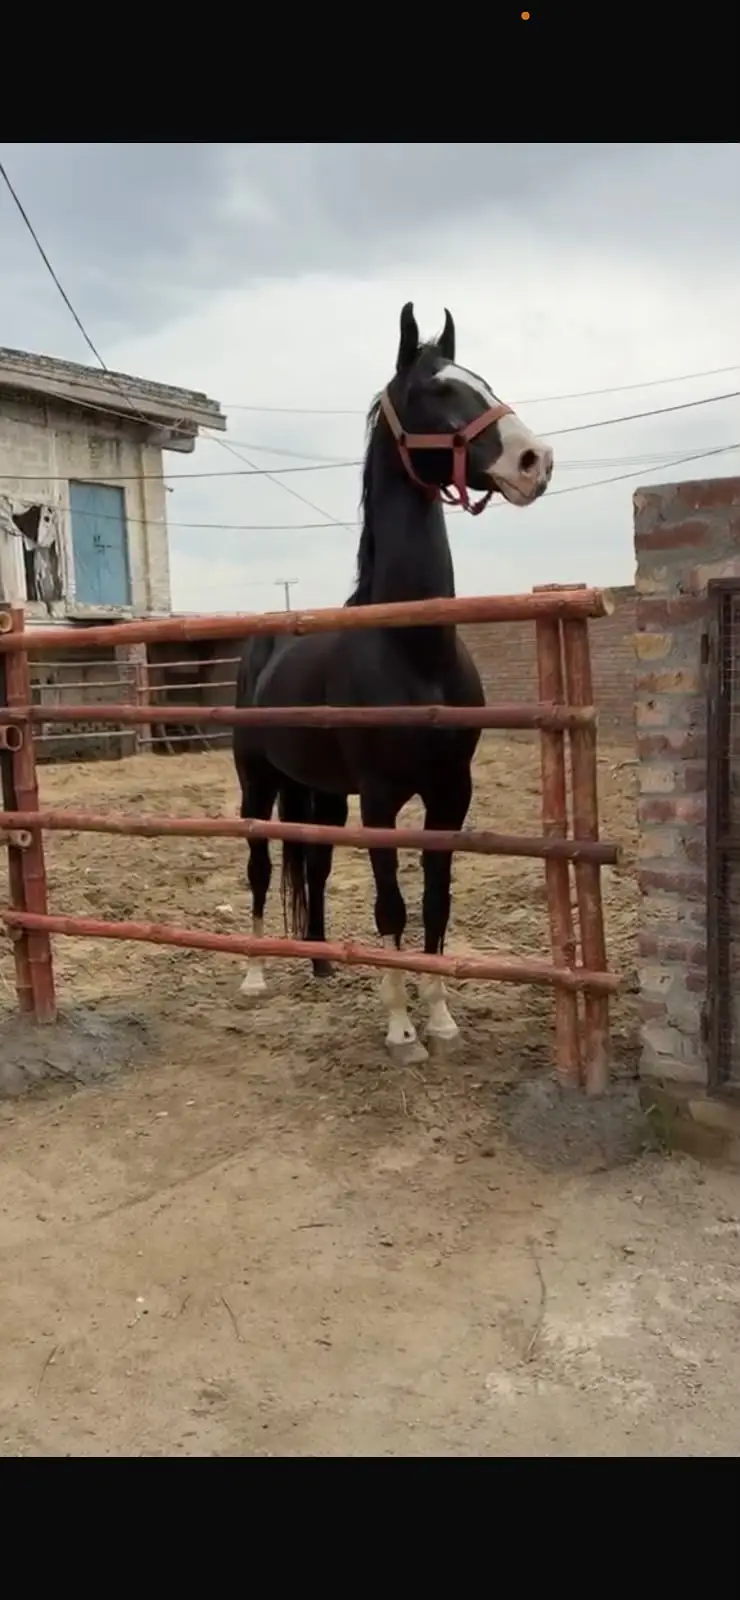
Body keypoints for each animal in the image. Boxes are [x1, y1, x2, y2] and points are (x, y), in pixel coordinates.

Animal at [233, 301, 553, 1061]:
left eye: (481, 379)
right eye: (435, 390)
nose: (536, 460)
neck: (414, 653)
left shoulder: (449, 796)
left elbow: (435, 903)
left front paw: (440, 1017)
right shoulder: (380, 801)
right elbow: (392, 905)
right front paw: (402, 1029)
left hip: (318, 792)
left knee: (314, 866)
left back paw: (320, 962)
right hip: (258, 782)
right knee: (260, 865)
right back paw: (256, 973)